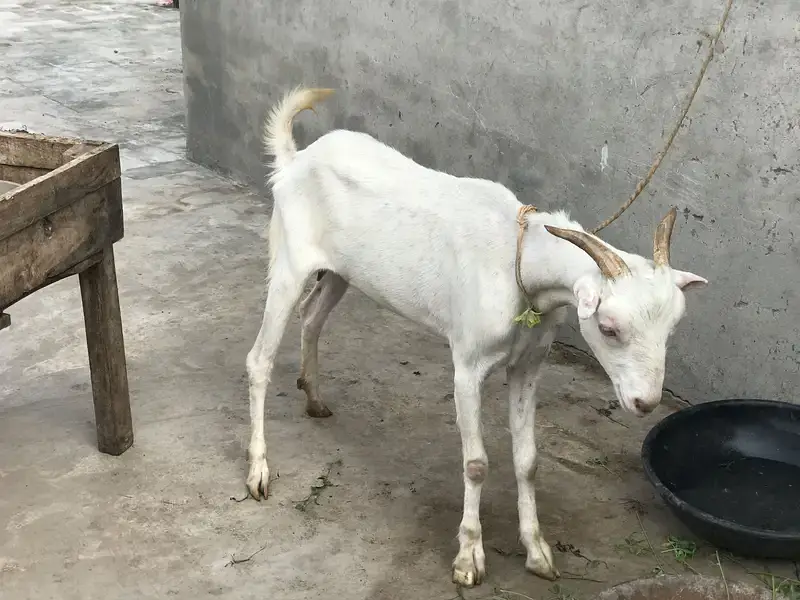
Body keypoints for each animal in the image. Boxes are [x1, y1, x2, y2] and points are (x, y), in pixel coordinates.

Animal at [245, 87, 708, 586]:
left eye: (673, 327)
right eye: (608, 327)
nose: (645, 402)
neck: (518, 260)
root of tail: (295, 160)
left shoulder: (529, 366)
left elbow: (528, 460)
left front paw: (538, 552)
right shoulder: (467, 366)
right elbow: (476, 463)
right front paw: (469, 557)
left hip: (341, 272)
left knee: (312, 316)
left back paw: (313, 397)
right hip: (290, 262)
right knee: (260, 359)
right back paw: (258, 471)